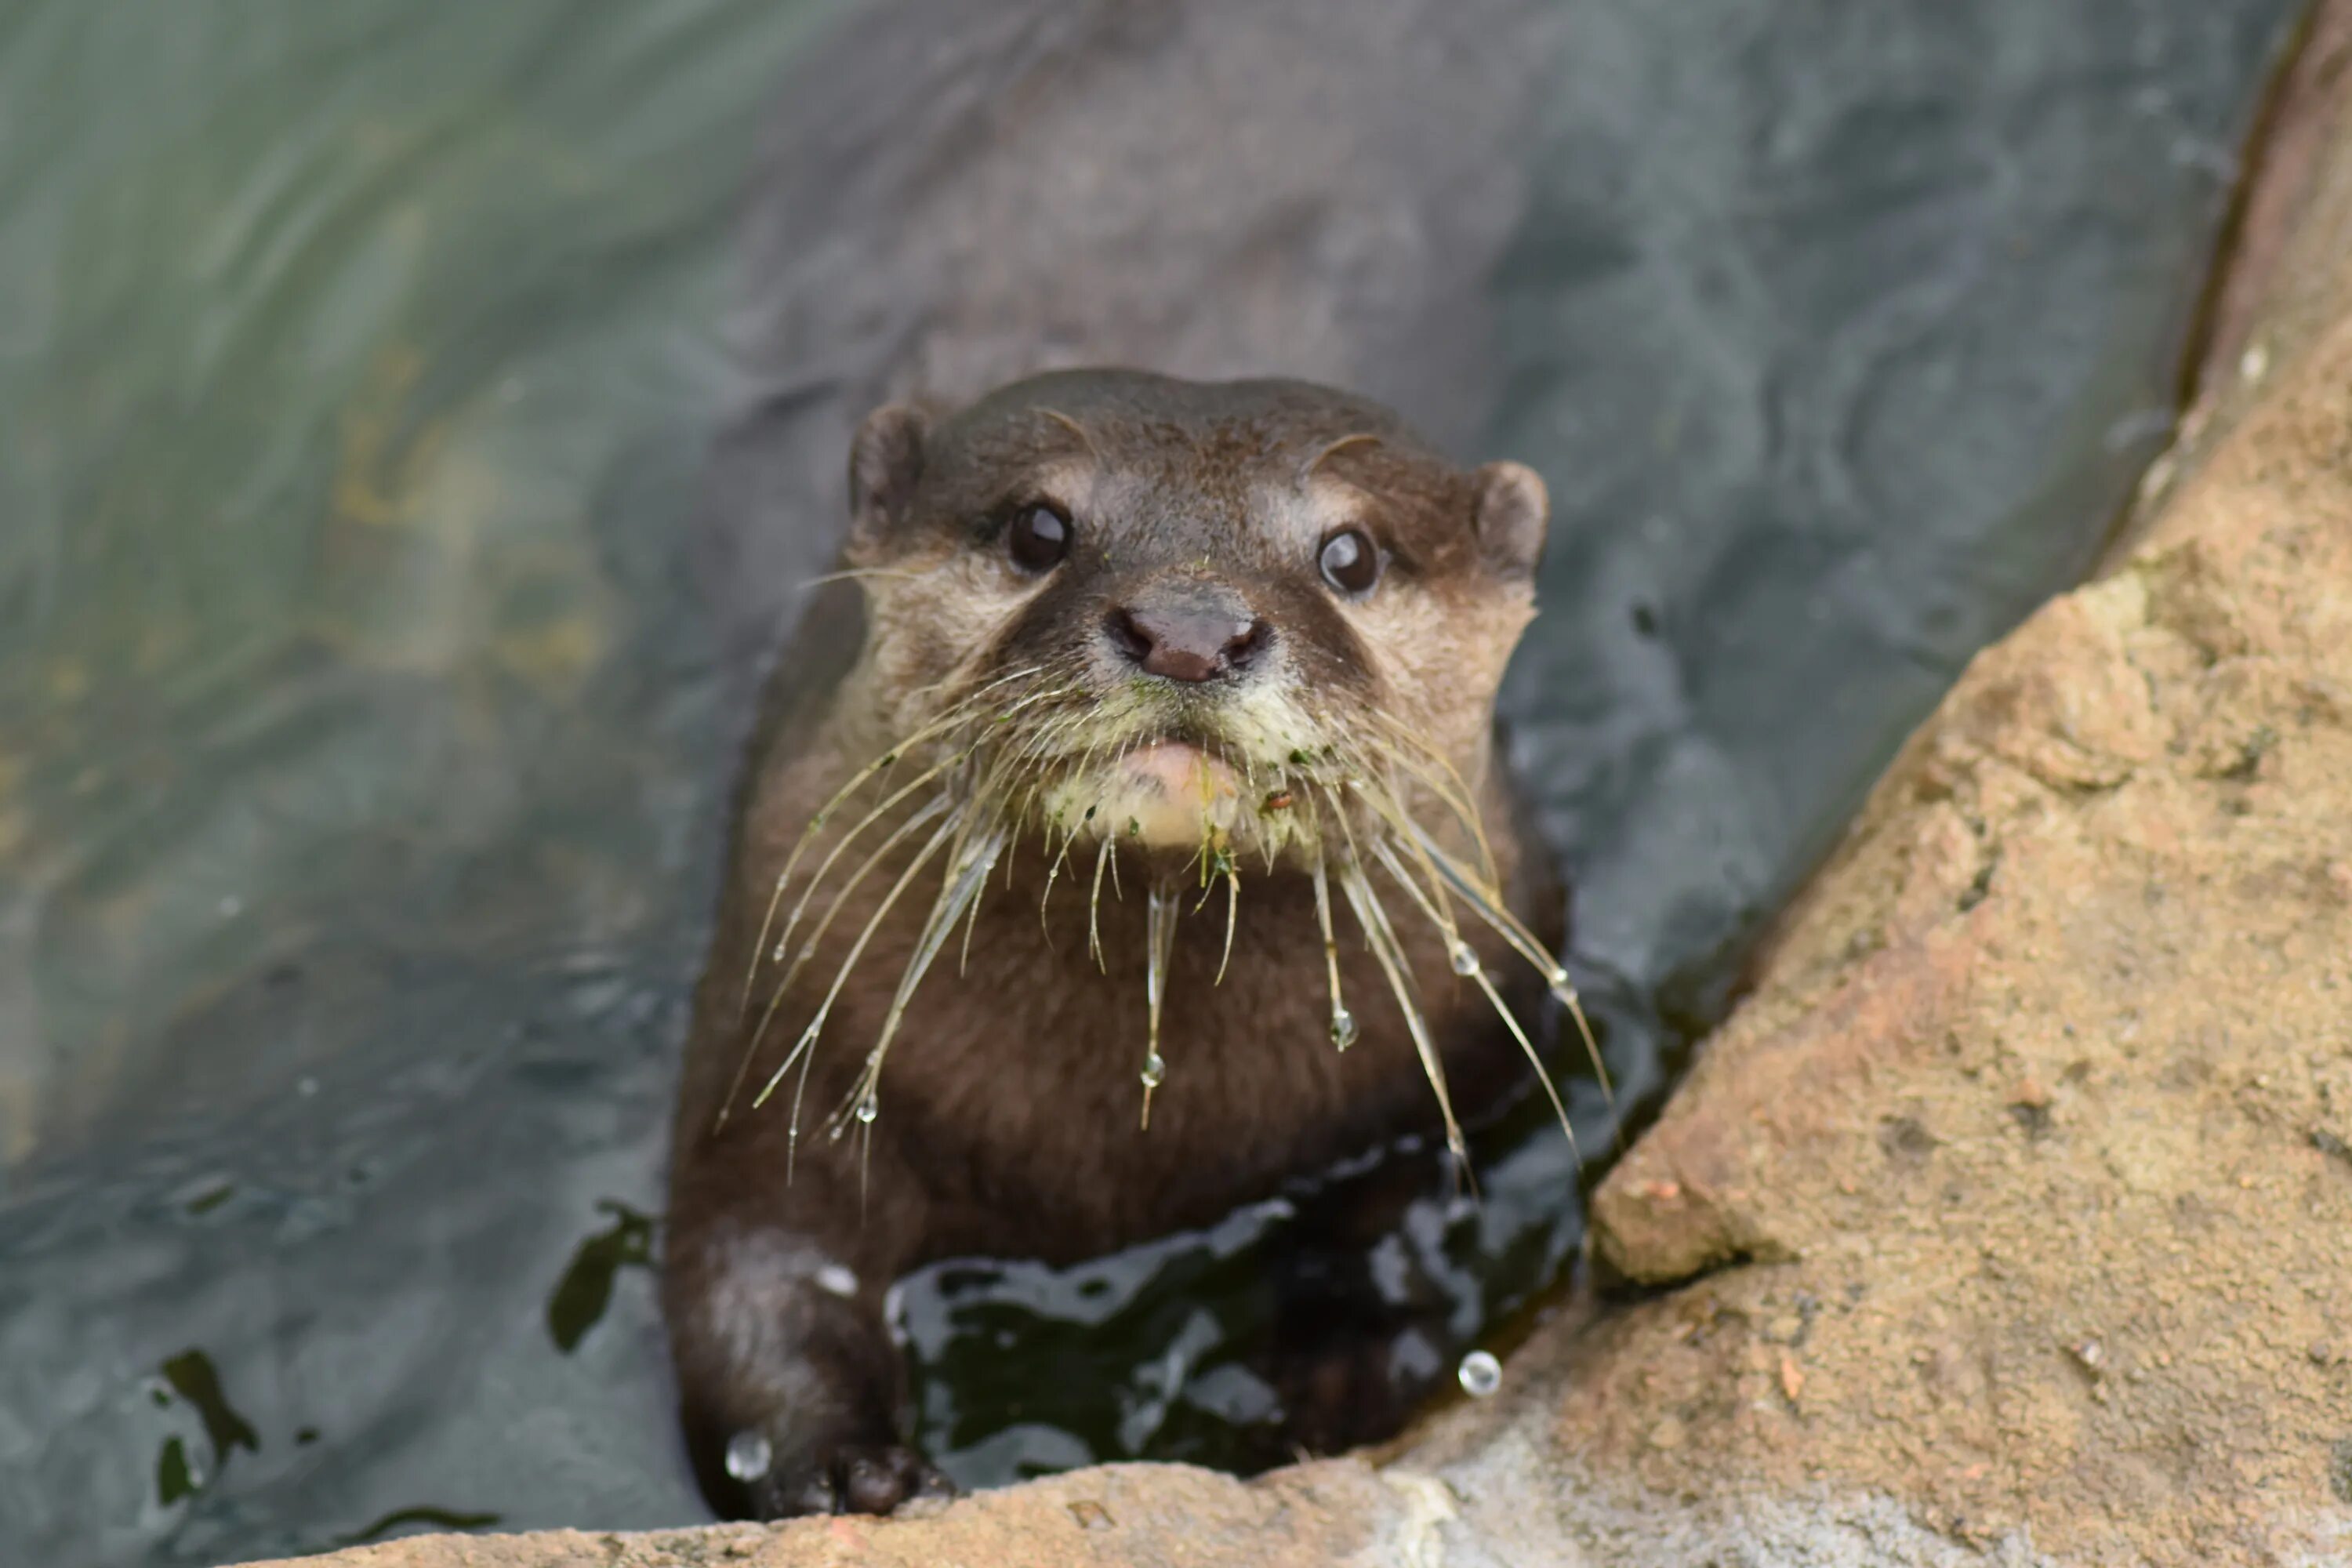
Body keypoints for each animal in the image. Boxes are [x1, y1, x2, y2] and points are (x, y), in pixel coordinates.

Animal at [663, 368, 1581, 1523]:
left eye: (1351, 554)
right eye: (1038, 527)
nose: (1189, 628)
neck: (1128, 1146)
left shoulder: (1448, 1074)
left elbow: (1389, 1223)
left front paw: (1339, 1381)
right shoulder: (785, 1020)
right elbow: (751, 1269)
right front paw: (847, 1466)